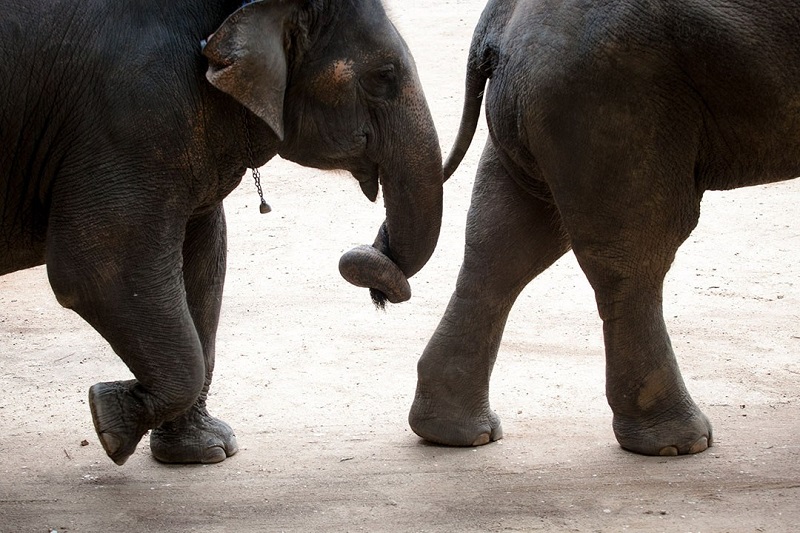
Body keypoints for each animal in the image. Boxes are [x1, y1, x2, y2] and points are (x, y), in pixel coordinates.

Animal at [1, 0, 444, 464]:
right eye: (384, 75)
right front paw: (110, 422)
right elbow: (94, 269)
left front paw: (204, 451)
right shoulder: (133, 117)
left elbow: (204, 256)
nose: (380, 291)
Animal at [410, 0, 800, 456]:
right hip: (612, 98)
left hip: (546, 103)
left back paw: (455, 435)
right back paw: (677, 445)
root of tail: (496, 22)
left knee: (507, 238)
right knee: (637, 248)